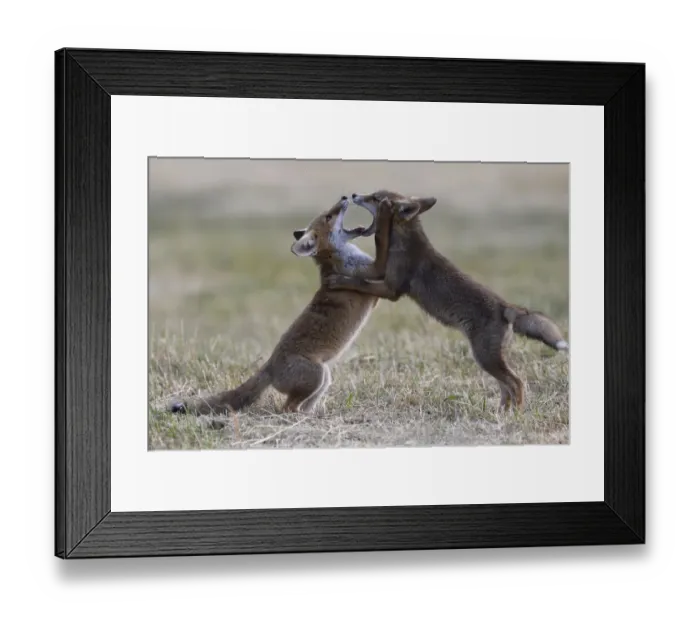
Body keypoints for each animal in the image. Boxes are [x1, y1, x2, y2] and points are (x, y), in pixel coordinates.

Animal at [170, 196, 392, 417]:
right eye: (329, 217)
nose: (345, 197)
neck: (337, 258)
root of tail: (269, 365)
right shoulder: (370, 276)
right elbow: (382, 264)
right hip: (317, 376)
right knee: (287, 408)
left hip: (324, 378)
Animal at [325, 190, 569, 412]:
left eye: (376, 198)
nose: (354, 195)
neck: (405, 242)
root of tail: (505, 307)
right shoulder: (383, 276)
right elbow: (360, 277)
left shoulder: (391, 289)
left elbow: (358, 282)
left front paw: (338, 280)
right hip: (490, 360)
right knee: (506, 387)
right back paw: (502, 413)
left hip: (485, 358)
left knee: (517, 383)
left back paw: (515, 415)